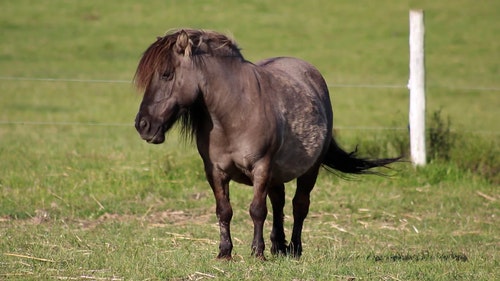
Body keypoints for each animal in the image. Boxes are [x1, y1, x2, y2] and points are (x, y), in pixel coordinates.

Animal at [135, 28, 400, 258]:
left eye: (167, 74)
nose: (142, 125)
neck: (234, 113)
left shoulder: (261, 167)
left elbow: (257, 210)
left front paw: (257, 252)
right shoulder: (215, 171)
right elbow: (224, 210)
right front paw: (225, 252)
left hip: (308, 171)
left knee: (299, 205)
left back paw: (294, 248)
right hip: (277, 174)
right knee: (279, 203)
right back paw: (278, 246)